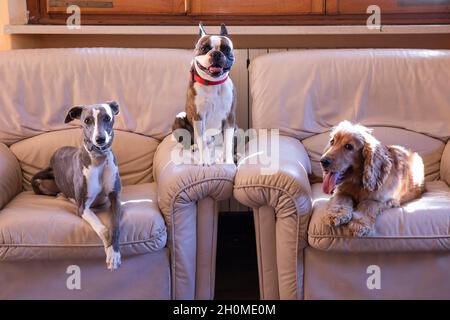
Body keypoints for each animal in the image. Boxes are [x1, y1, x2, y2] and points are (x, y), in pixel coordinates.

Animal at [32, 102, 122, 270]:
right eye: (87, 120)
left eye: (107, 117)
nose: (100, 139)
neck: (99, 158)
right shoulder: (82, 207)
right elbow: (103, 229)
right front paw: (108, 247)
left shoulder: (115, 198)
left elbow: (115, 226)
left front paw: (113, 253)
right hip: (41, 181)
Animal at [172, 23, 236, 165]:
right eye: (204, 48)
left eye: (226, 49)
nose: (216, 53)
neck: (213, 84)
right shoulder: (198, 117)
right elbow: (202, 142)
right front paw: (205, 161)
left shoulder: (229, 118)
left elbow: (228, 143)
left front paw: (228, 161)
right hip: (180, 117)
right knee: (192, 141)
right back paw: (193, 146)